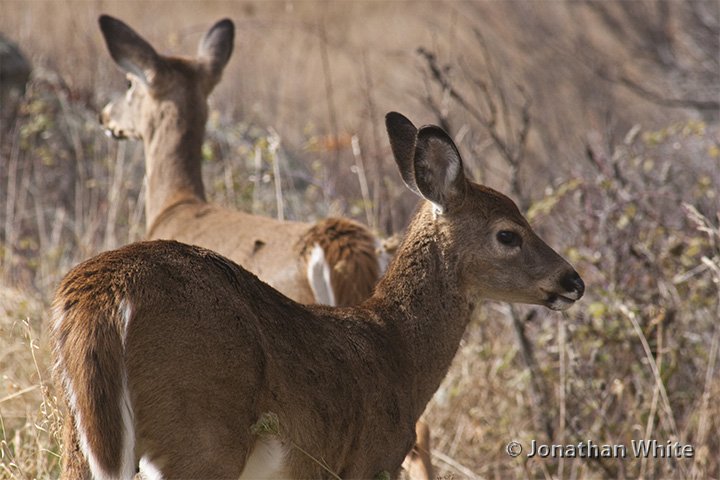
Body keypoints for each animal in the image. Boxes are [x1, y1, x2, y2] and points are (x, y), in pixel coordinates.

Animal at [52, 111, 584, 479]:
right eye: (508, 234)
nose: (573, 281)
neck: (398, 351)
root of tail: (102, 296)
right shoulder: (370, 459)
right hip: (198, 438)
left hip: (80, 440)